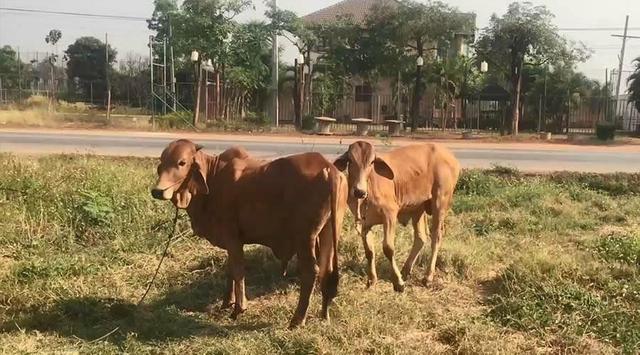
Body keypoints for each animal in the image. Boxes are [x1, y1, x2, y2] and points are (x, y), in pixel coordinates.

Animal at [151, 140, 348, 330]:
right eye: (161, 162)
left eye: (182, 162)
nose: (157, 191)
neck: (213, 177)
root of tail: (328, 168)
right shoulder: (231, 241)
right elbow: (230, 269)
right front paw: (226, 303)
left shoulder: (232, 236)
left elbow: (238, 270)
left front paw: (238, 309)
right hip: (329, 232)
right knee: (326, 271)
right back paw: (324, 314)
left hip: (305, 238)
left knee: (310, 272)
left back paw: (297, 320)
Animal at [336, 141, 460, 292]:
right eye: (351, 160)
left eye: (371, 162)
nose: (359, 191)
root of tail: (449, 155)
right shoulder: (365, 223)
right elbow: (369, 252)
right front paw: (372, 281)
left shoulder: (390, 214)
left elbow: (388, 248)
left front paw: (398, 282)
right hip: (418, 208)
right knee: (421, 237)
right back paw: (406, 270)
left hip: (440, 202)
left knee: (436, 236)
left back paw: (428, 277)